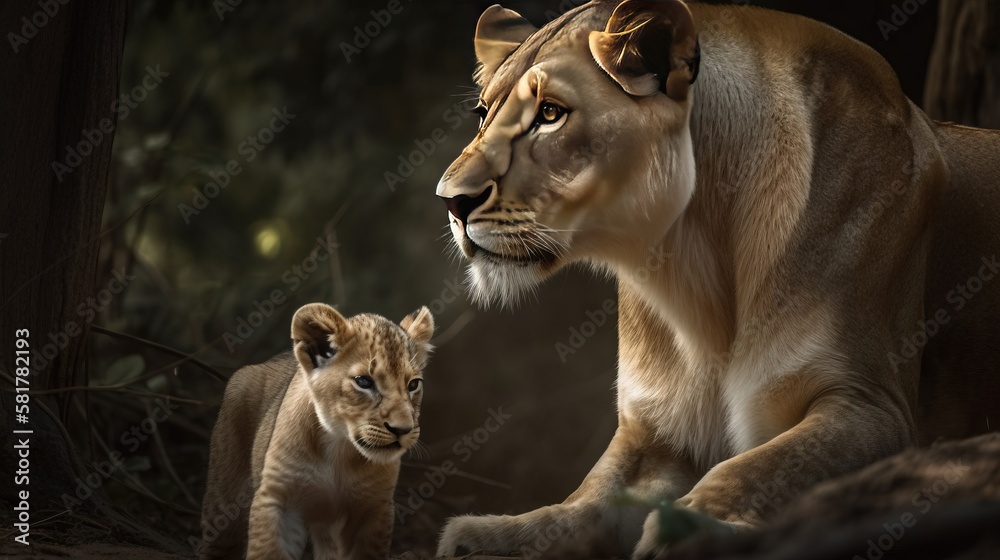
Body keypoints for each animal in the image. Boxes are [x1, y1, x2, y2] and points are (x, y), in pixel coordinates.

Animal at [199, 303, 434, 560]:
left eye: (413, 385)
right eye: (364, 381)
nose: (402, 429)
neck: (338, 449)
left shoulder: (374, 507)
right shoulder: (277, 499)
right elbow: (268, 551)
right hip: (224, 502)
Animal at [433, 1, 1000, 558]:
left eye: (550, 113)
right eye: (483, 114)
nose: (451, 202)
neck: (691, 256)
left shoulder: (872, 404)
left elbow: (754, 467)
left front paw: (687, 532)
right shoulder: (657, 432)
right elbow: (584, 503)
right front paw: (488, 536)